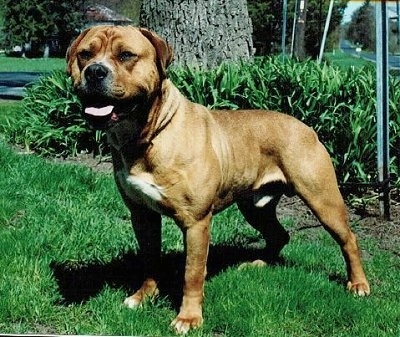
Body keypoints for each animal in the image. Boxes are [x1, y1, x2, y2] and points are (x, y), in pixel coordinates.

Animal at [67, 25, 370, 332]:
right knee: (279, 234)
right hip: (255, 206)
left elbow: (192, 273)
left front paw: (188, 318)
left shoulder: (196, 222)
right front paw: (143, 297)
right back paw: (259, 264)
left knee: (349, 239)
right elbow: (149, 260)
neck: (148, 134)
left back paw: (358, 284)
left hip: (322, 200)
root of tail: (307, 127)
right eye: (85, 54)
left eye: (126, 55)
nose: (94, 71)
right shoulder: (142, 215)